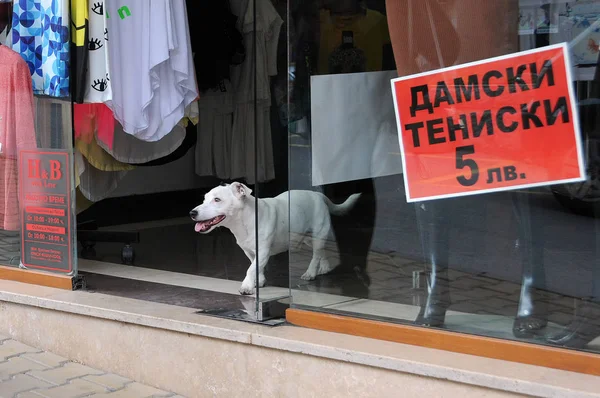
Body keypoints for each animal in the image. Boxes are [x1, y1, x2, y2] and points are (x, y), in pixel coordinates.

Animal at [191, 182, 360, 294]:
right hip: (307, 237)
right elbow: (255, 266)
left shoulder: (263, 251)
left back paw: (311, 272)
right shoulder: (250, 251)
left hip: (318, 231)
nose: (192, 212)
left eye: (217, 200)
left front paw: (246, 286)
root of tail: (318, 195)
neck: (245, 220)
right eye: (204, 199)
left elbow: (251, 268)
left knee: (316, 253)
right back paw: (324, 266)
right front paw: (259, 281)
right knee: (321, 250)